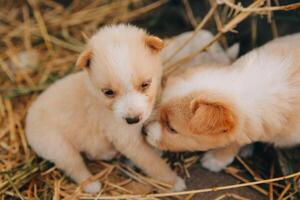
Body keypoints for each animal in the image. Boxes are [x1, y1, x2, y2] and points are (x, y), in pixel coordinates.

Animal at [25, 23, 185, 194]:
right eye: (108, 92)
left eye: (145, 84)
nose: (132, 120)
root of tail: (28, 119)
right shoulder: (127, 140)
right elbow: (153, 163)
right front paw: (173, 181)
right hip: (58, 147)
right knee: (75, 166)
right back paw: (91, 185)